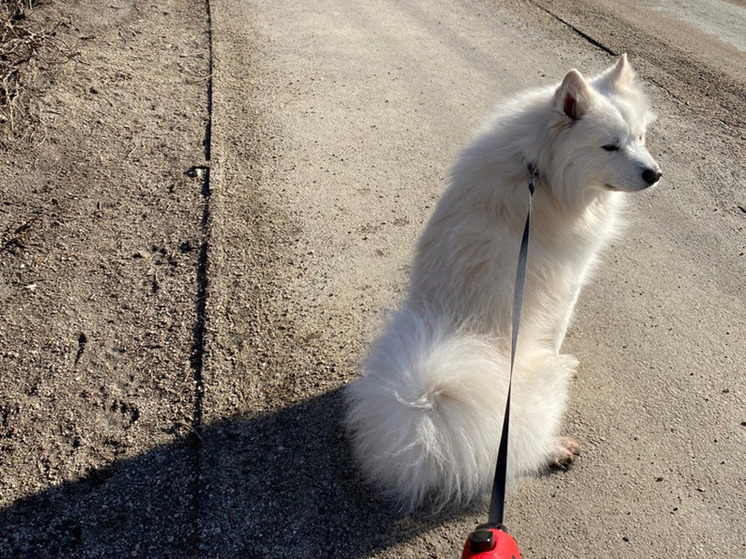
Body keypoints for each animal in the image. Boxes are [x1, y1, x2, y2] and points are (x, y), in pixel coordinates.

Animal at [342, 55, 656, 512]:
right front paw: (563, 357)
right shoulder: (570, 282)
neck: (538, 171)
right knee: (517, 452)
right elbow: (557, 334)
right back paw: (555, 446)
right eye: (609, 146)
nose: (655, 173)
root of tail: (424, 415)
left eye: (640, 137)